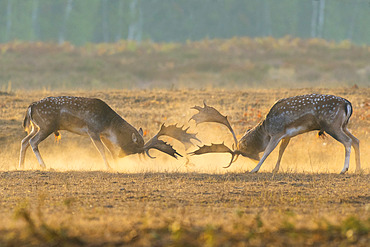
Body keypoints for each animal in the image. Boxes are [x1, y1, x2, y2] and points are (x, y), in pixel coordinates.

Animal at [18, 96, 198, 170]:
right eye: (134, 149)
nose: (122, 156)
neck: (108, 124)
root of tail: (31, 107)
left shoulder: (103, 134)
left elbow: (110, 149)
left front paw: (116, 164)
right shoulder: (93, 130)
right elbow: (102, 150)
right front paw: (109, 165)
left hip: (36, 127)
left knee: (24, 141)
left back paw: (21, 165)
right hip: (46, 126)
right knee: (32, 142)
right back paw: (43, 165)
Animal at [191, 93, 362, 175]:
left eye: (244, 151)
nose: (253, 160)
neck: (265, 129)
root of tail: (348, 104)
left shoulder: (276, 133)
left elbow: (268, 152)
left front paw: (255, 169)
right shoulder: (287, 135)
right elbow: (281, 151)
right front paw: (275, 169)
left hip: (332, 125)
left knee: (348, 142)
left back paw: (344, 169)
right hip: (343, 125)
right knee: (356, 140)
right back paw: (358, 169)